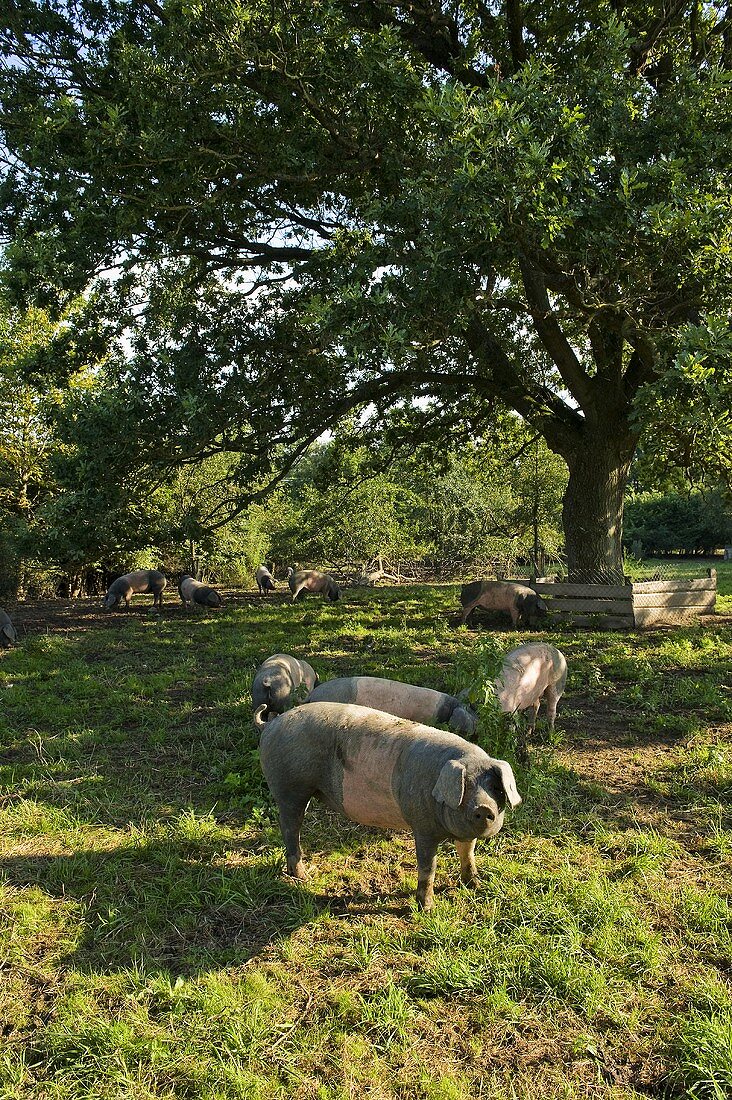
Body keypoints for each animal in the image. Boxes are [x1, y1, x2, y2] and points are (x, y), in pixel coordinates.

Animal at [256, 699, 519, 906]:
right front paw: (427, 908)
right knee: (290, 828)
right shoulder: (422, 826)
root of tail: (271, 724)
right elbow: (428, 867)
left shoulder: (464, 833)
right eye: (465, 788)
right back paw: (303, 877)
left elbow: (468, 853)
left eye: (495, 788)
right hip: (289, 788)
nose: (484, 808)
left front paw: (476, 885)